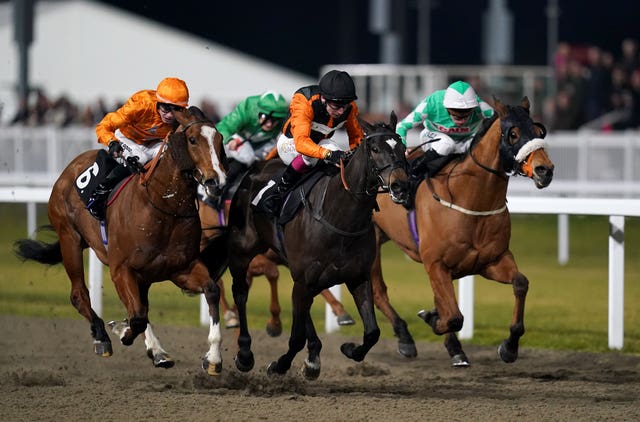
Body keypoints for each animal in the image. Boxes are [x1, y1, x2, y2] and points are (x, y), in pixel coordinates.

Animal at [13, 107, 230, 374]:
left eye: (219, 139)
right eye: (192, 140)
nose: (216, 181)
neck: (163, 206)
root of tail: (69, 169)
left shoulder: (181, 268)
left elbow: (211, 290)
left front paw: (213, 358)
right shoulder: (121, 269)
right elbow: (136, 317)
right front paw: (121, 329)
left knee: (142, 306)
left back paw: (157, 351)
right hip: (69, 238)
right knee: (80, 295)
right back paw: (102, 337)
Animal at [220, 113, 408, 380]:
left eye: (402, 148)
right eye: (375, 149)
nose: (400, 186)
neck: (341, 217)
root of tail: (256, 168)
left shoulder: (357, 277)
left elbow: (372, 332)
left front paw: (348, 348)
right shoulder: (305, 279)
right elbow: (296, 337)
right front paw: (279, 365)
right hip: (242, 249)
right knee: (240, 291)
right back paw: (245, 353)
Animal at [370, 98, 556, 366]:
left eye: (540, 132)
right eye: (513, 134)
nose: (545, 169)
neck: (470, 198)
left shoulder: (491, 261)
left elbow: (520, 283)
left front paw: (509, 346)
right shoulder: (435, 264)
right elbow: (454, 316)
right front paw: (433, 319)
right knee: (378, 291)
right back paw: (405, 338)